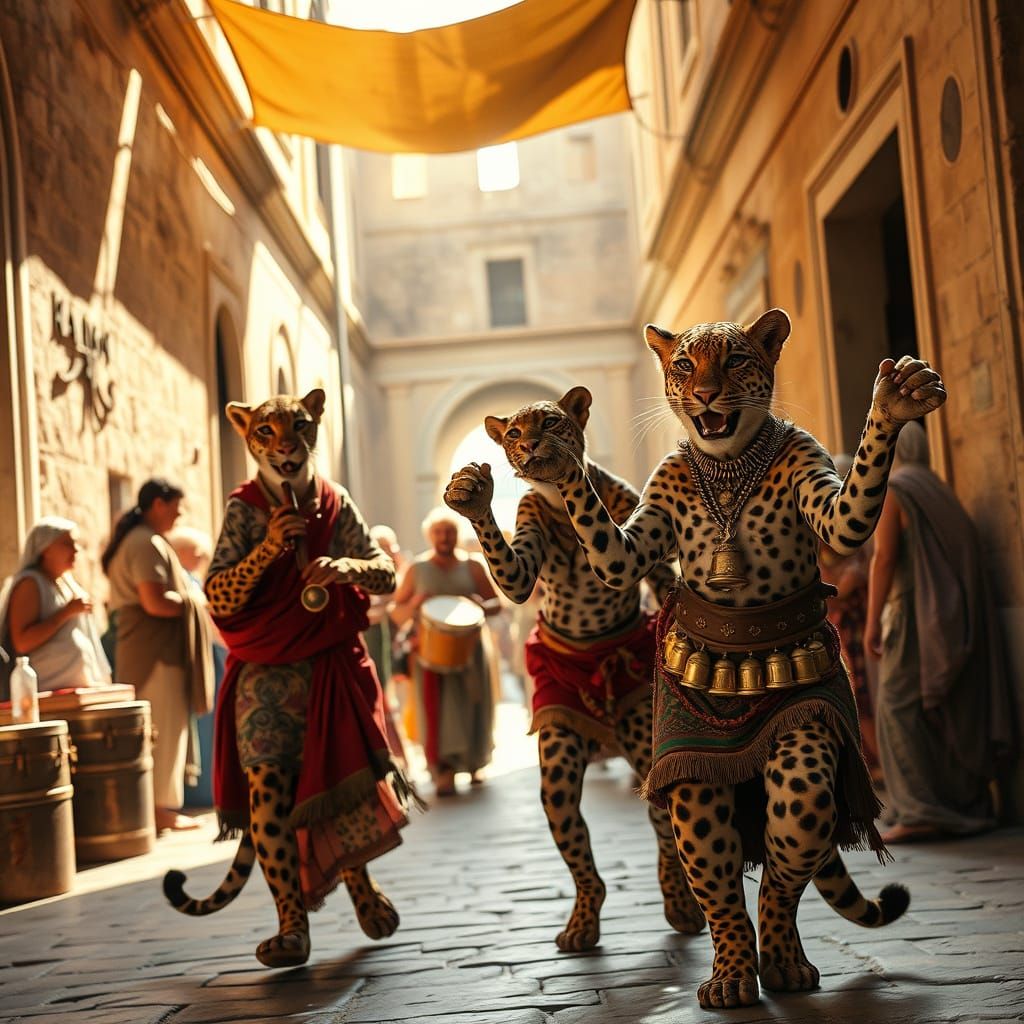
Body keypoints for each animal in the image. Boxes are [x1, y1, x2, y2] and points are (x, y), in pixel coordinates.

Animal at [163, 388, 400, 969]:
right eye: (265, 431)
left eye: (300, 423)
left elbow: (374, 564)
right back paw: (291, 938)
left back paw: (373, 909)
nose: (289, 450)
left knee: (345, 816)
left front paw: (330, 568)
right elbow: (227, 577)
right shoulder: (224, 552)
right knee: (277, 829)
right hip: (268, 747)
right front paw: (278, 534)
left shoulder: (355, 522)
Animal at [444, 387, 705, 952]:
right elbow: (516, 575)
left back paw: (680, 904)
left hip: (639, 736)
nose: (529, 446)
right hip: (561, 746)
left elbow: (658, 573)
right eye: (513, 433)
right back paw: (584, 919)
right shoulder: (525, 534)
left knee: (661, 827)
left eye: (549, 422)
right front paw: (472, 496)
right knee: (572, 829)